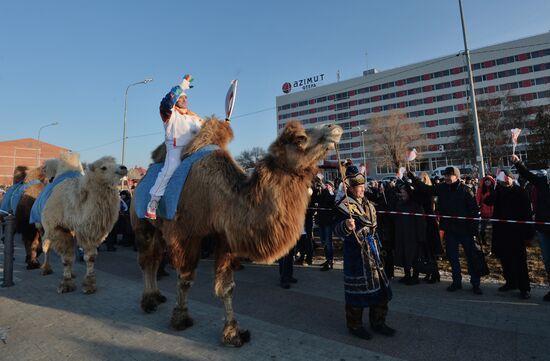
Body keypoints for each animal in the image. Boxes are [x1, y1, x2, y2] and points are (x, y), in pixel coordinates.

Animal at [40, 155, 128, 292]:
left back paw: (71, 273)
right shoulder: (59, 228)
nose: (123, 168)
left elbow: (90, 257)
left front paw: (89, 285)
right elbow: (66, 258)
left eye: (115, 162)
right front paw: (66, 285)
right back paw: (45, 269)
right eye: (103, 167)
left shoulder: (90, 231)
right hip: (46, 227)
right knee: (46, 246)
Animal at [132, 118, 342, 346]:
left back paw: (156, 296)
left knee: (154, 259)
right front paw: (180, 318)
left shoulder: (226, 239)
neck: (220, 198)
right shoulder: (186, 235)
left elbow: (227, 287)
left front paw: (233, 333)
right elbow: (186, 279)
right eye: (300, 138)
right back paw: (148, 301)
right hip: (143, 224)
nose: (334, 128)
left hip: (160, 231)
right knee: (147, 259)